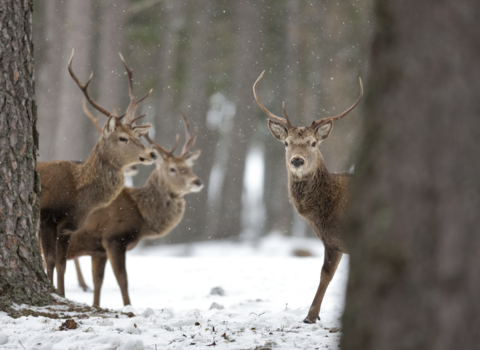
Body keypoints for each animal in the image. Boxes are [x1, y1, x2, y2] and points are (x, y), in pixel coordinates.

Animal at [38, 50, 158, 298]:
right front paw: (55, 293)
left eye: (138, 136)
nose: (152, 153)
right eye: (122, 138)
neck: (76, 195)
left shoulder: (68, 227)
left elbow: (61, 263)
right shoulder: (46, 217)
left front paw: (61, 294)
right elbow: (50, 260)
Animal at [64, 109, 203, 306]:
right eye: (173, 169)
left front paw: (96, 305)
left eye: (189, 167)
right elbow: (122, 280)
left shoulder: (98, 248)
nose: (197, 182)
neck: (140, 213)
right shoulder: (113, 238)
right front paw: (128, 307)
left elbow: (98, 281)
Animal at [253, 70, 362, 322]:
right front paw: (311, 316)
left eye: (313, 143)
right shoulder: (332, 242)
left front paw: (311, 316)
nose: (297, 160)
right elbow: (326, 275)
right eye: (286, 143)